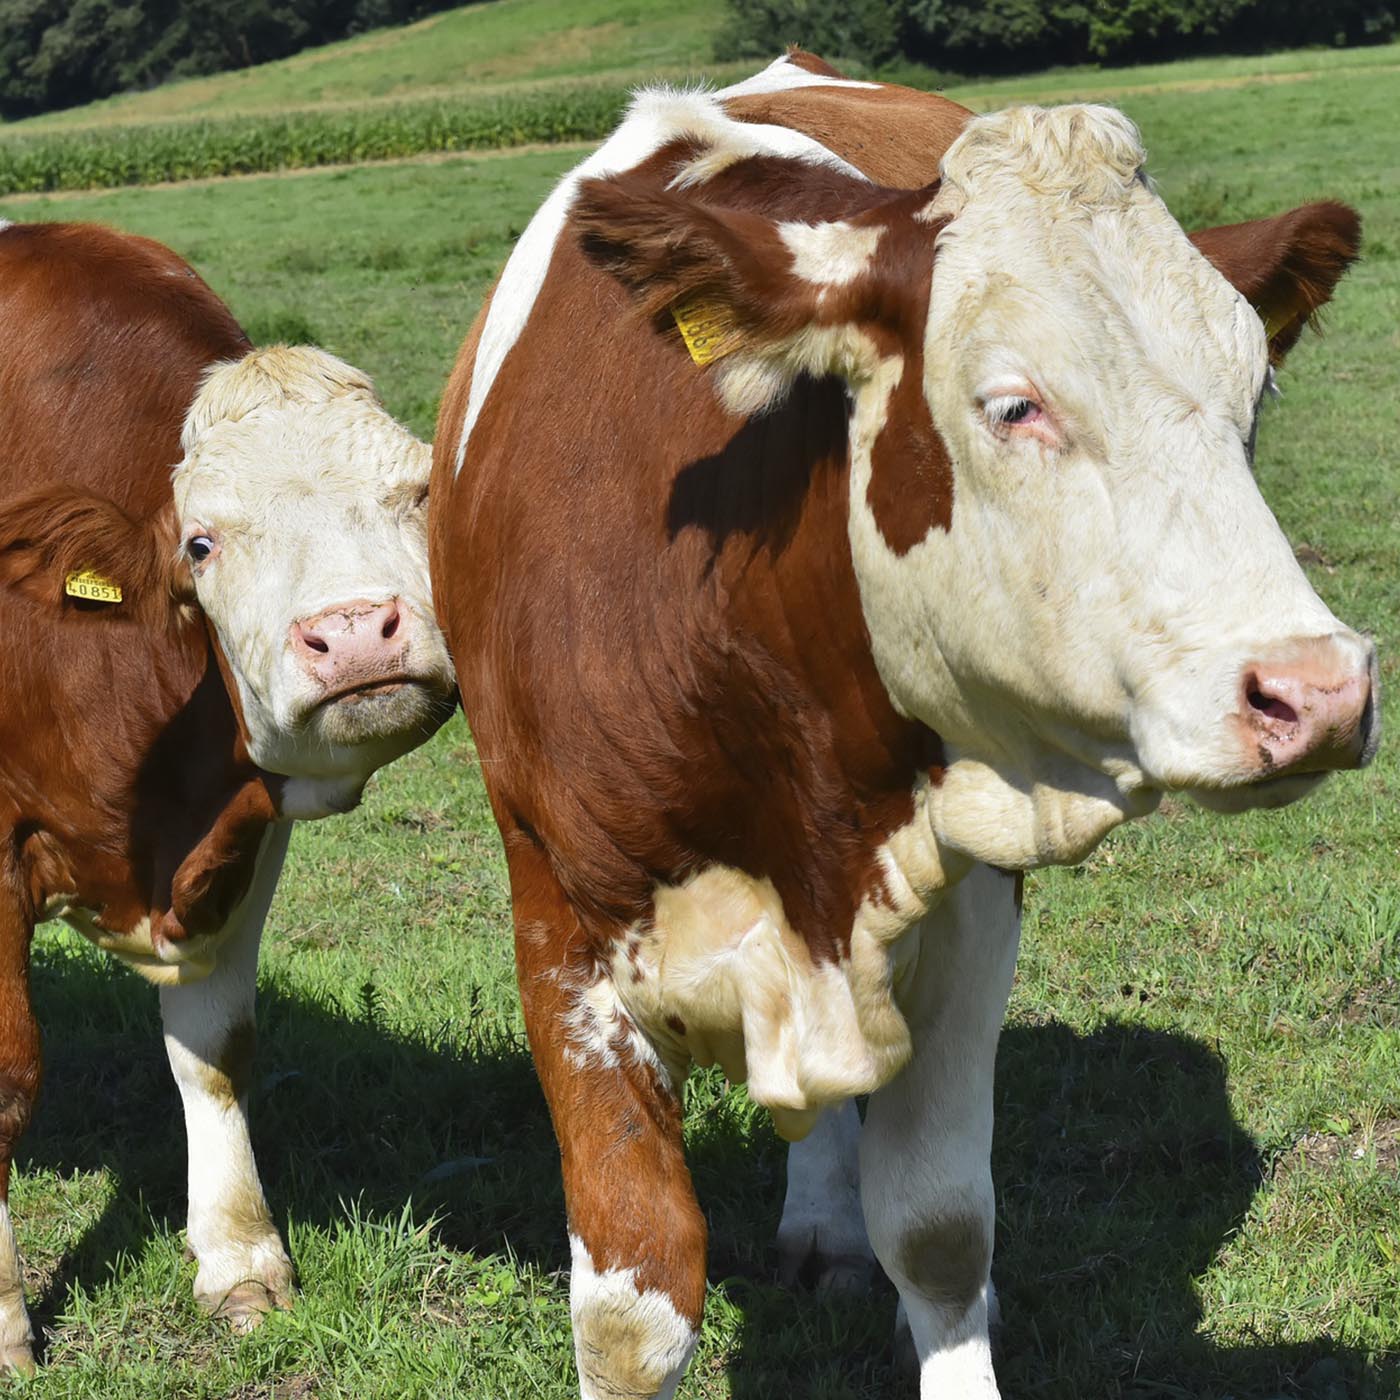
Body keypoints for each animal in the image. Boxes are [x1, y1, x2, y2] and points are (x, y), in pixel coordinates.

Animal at [0, 218, 453, 1366]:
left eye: (420, 496)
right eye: (200, 544)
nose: (354, 633)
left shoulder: (243, 831)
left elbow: (215, 1050)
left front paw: (240, 1261)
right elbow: (8, 1077)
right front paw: (5, 1324)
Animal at [425, 51, 1377, 1400]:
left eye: (1253, 395)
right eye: (1012, 405)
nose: (1316, 688)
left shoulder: (969, 889)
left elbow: (935, 1226)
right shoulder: (555, 915)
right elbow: (631, 1303)